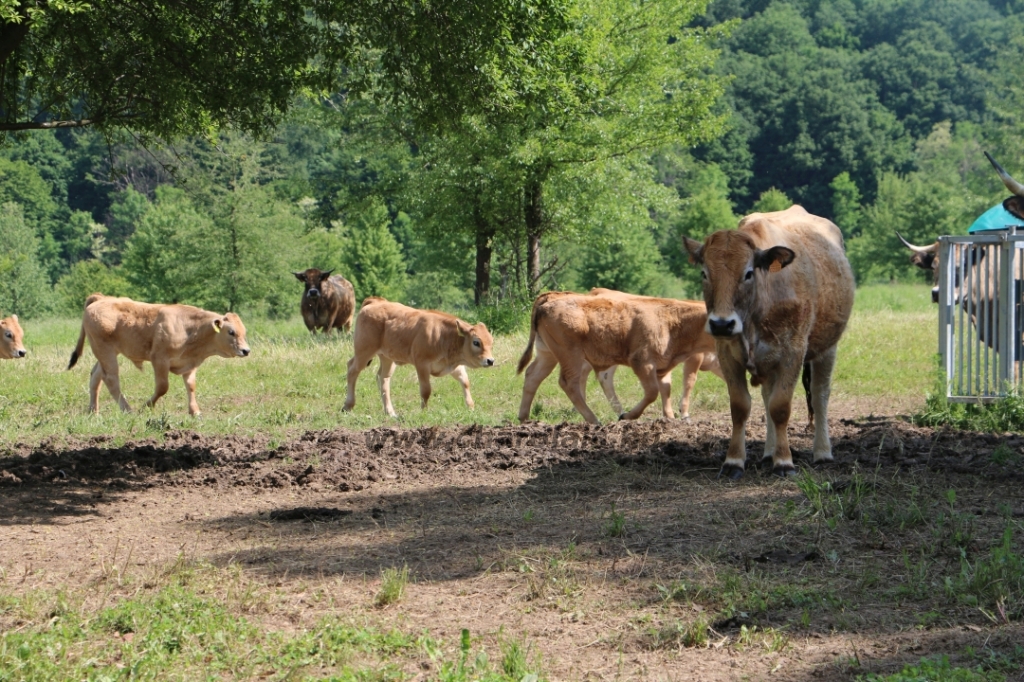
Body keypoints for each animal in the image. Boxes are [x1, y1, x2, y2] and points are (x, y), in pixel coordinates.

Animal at [68, 292, 251, 413]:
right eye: (231, 332)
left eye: (244, 331)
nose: (246, 350)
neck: (191, 328)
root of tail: (101, 299)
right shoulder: (160, 360)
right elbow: (163, 387)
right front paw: (146, 407)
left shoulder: (189, 364)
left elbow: (191, 386)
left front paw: (195, 412)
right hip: (106, 351)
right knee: (111, 379)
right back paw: (128, 410)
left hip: (107, 353)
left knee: (96, 376)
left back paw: (93, 411)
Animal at [344, 296, 495, 413]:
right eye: (476, 342)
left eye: (491, 341)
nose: (490, 360)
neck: (443, 336)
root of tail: (375, 301)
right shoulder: (422, 364)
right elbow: (426, 390)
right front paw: (424, 411)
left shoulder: (454, 366)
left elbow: (465, 382)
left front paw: (471, 407)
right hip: (364, 352)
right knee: (352, 370)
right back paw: (348, 405)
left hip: (387, 358)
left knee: (383, 378)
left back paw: (390, 412)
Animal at [585, 284, 720, 417]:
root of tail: (598, 289)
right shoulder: (695, 356)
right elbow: (689, 381)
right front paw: (684, 414)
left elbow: (666, 387)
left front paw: (669, 416)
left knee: (604, 377)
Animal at [688, 204, 856, 475]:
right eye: (705, 273)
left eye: (748, 273)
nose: (722, 324)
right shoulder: (727, 353)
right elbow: (741, 407)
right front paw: (734, 461)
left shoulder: (793, 353)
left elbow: (780, 407)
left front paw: (784, 461)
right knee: (767, 397)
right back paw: (768, 453)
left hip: (827, 348)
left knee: (819, 395)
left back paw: (822, 452)